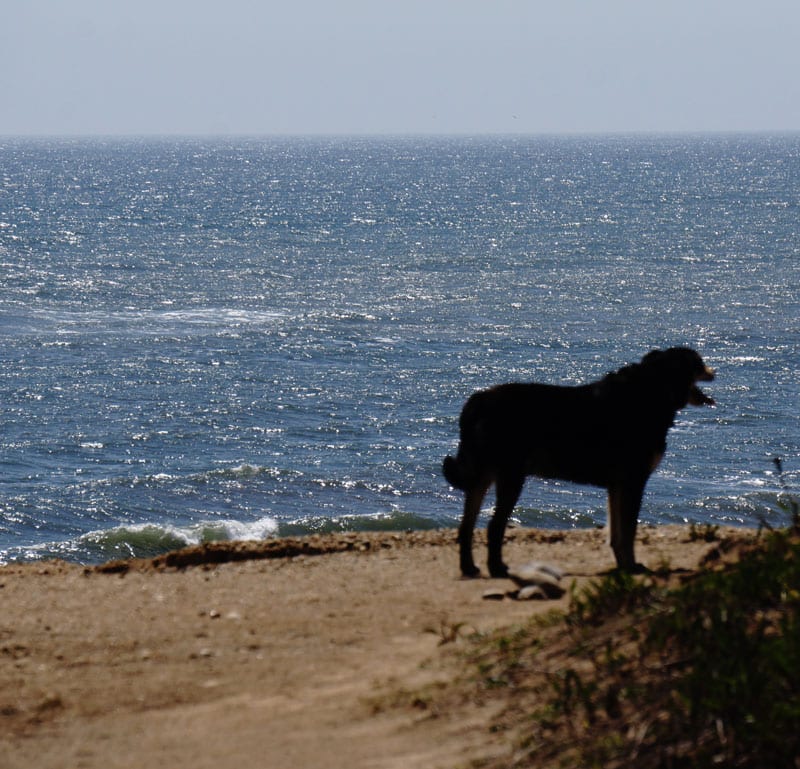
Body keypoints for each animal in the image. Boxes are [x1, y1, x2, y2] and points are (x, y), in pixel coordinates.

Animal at [444, 346, 720, 576]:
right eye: (697, 363)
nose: (714, 371)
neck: (652, 391)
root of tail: (478, 401)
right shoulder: (633, 481)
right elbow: (628, 532)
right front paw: (631, 567)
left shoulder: (617, 486)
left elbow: (617, 534)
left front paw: (623, 566)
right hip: (510, 475)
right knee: (494, 526)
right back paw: (497, 568)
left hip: (483, 475)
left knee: (466, 526)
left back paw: (469, 568)